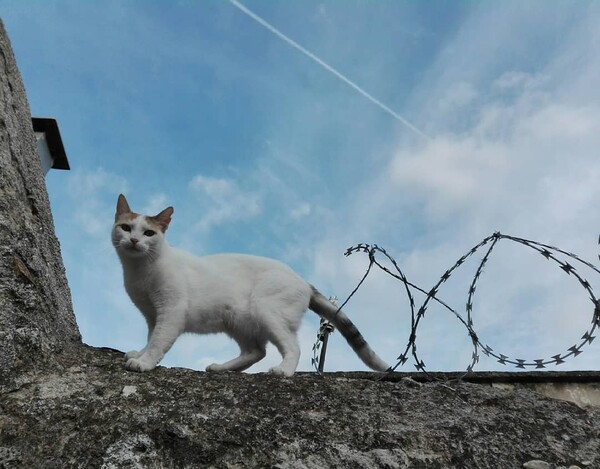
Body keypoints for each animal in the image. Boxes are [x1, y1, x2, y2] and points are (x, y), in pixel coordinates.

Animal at [112, 194, 390, 376]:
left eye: (149, 233)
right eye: (125, 227)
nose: (134, 240)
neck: (140, 271)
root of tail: (302, 280)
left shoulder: (171, 311)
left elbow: (159, 341)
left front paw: (145, 362)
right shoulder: (152, 314)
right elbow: (151, 336)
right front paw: (140, 353)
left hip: (266, 311)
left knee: (291, 347)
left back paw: (283, 371)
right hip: (237, 320)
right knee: (255, 351)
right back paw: (221, 368)